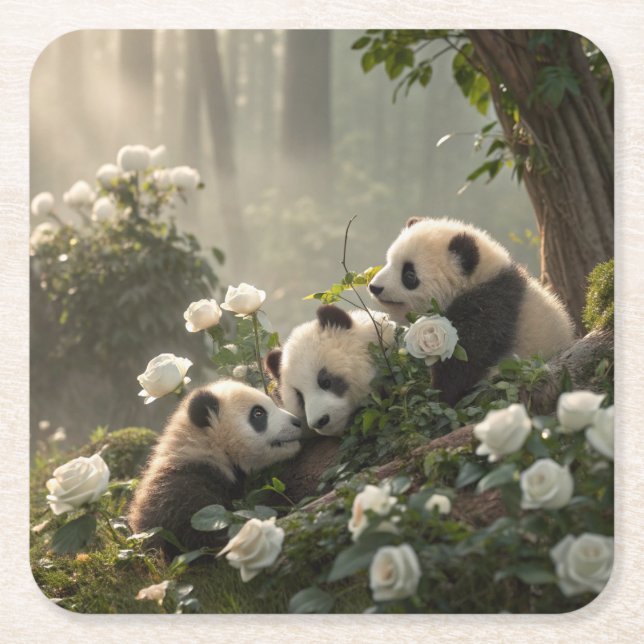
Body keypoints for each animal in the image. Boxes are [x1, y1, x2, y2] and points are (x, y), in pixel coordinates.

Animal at [368, 217, 575, 406]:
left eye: (409, 275)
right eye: (389, 262)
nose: (375, 287)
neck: (477, 279)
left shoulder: (486, 309)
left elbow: (463, 364)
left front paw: (437, 396)